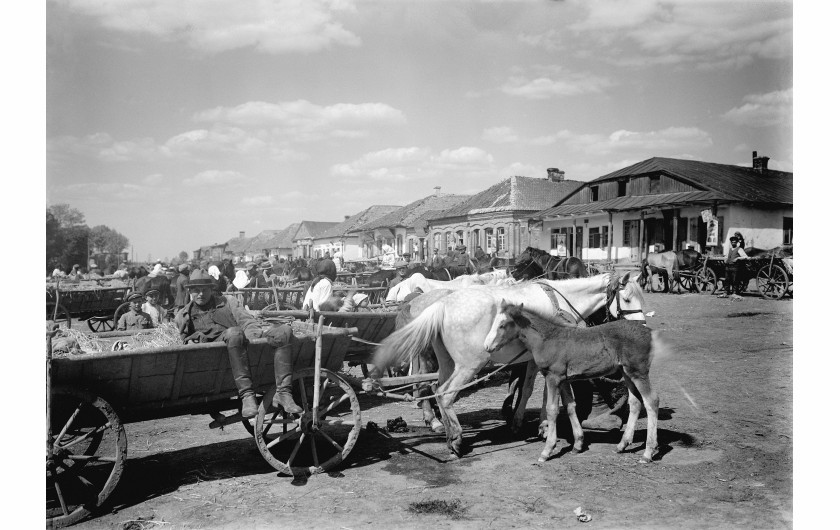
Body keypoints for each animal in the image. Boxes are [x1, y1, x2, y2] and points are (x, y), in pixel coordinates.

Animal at [372, 272, 644, 454]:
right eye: (628, 299)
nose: (640, 327)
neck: (560, 301)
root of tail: (440, 305)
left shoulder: (532, 360)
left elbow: (527, 389)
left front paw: (519, 421)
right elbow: (540, 393)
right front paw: (543, 425)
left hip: (447, 363)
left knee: (435, 390)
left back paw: (447, 432)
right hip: (468, 364)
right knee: (443, 393)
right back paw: (456, 438)